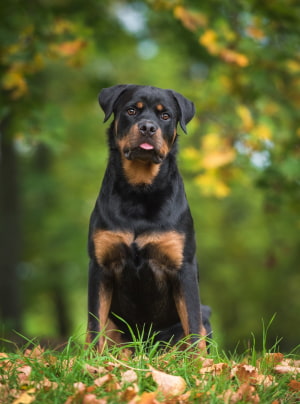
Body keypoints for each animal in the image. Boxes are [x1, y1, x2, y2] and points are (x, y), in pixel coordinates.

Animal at [85, 84, 212, 350]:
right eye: (132, 110)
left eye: (165, 116)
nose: (147, 127)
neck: (140, 190)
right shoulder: (100, 265)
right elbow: (94, 325)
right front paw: (91, 358)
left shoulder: (183, 267)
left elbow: (194, 326)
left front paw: (200, 361)